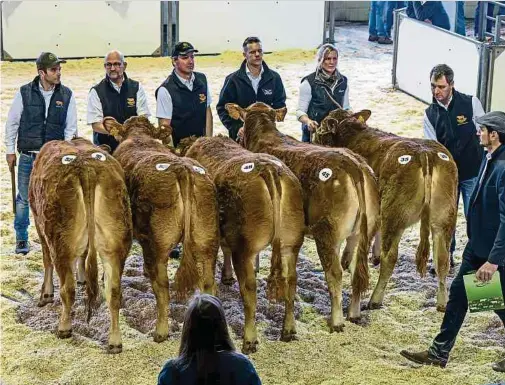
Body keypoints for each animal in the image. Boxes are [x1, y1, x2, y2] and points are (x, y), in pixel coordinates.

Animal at [28, 137, 133, 352]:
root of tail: (87, 168)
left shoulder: (39, 224)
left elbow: (46, 260)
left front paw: (46, 294)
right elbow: (83, 255)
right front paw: (82, 277)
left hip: (60, 241)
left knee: (67, 289)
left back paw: (64, 327)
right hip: (116, 243)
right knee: (113, 291)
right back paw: (115, 341)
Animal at [102, 115, 219, 342]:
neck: (139, 137)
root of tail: (182, 169)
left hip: (159, 244)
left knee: (163, 287)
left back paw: (160, 331)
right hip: (207, 239)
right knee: (208, 281)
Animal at [178, 134, 304, 352]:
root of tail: (269, 169)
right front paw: (227, 276)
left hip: (245, 248)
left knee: (249, 289)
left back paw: (250, 340)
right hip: (291, 244)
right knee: (291, 280)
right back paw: (288, 330)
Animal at [225, 101, 378, 330]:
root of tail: (354, 166)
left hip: (327, 233)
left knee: (335, 273)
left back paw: (336, 321)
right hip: (362, 234)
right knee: (355, 270)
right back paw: (354, 313)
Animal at [316, 106, 456, 310]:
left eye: (322, 126)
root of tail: (425, 153)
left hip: (395, 214)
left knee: (390, 258)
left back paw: (374, 300)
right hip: (444, 217)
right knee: (442, 260)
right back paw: (443, 303)